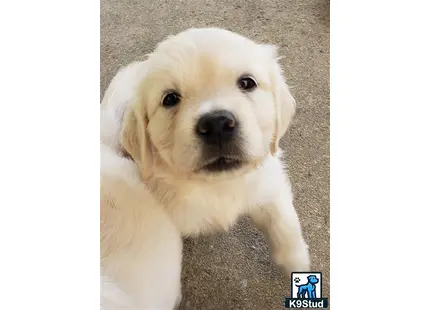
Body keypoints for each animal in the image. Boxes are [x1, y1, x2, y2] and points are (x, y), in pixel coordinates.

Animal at [101, 27, 310, 308]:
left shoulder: (267, 175)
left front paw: (298, 262)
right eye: (170, 99)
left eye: (247, 83)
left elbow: (283, 220)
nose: (217, 124)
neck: (216, 186)